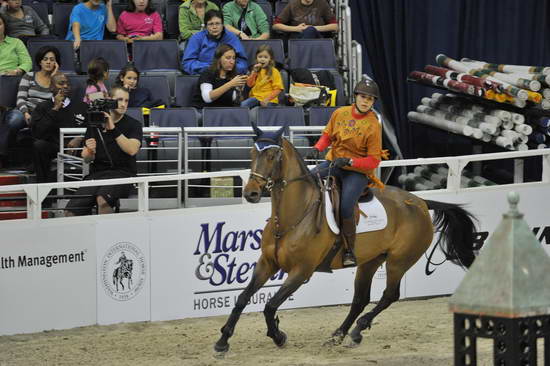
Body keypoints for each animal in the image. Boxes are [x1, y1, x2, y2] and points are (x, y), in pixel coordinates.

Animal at [213, 124, 480, 354]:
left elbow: (270, 306)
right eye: (252, 153)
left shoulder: (301, 271)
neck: (293, 217)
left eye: (272, 156)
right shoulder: (267, 263)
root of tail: (421, 203)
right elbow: (242, 298)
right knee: (360, 299)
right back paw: (339, 334)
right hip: (370, 262)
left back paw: (357, 330)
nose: (251, 193)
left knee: (389, 296)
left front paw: (279, 336)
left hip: (398, 262)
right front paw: (223, 341)